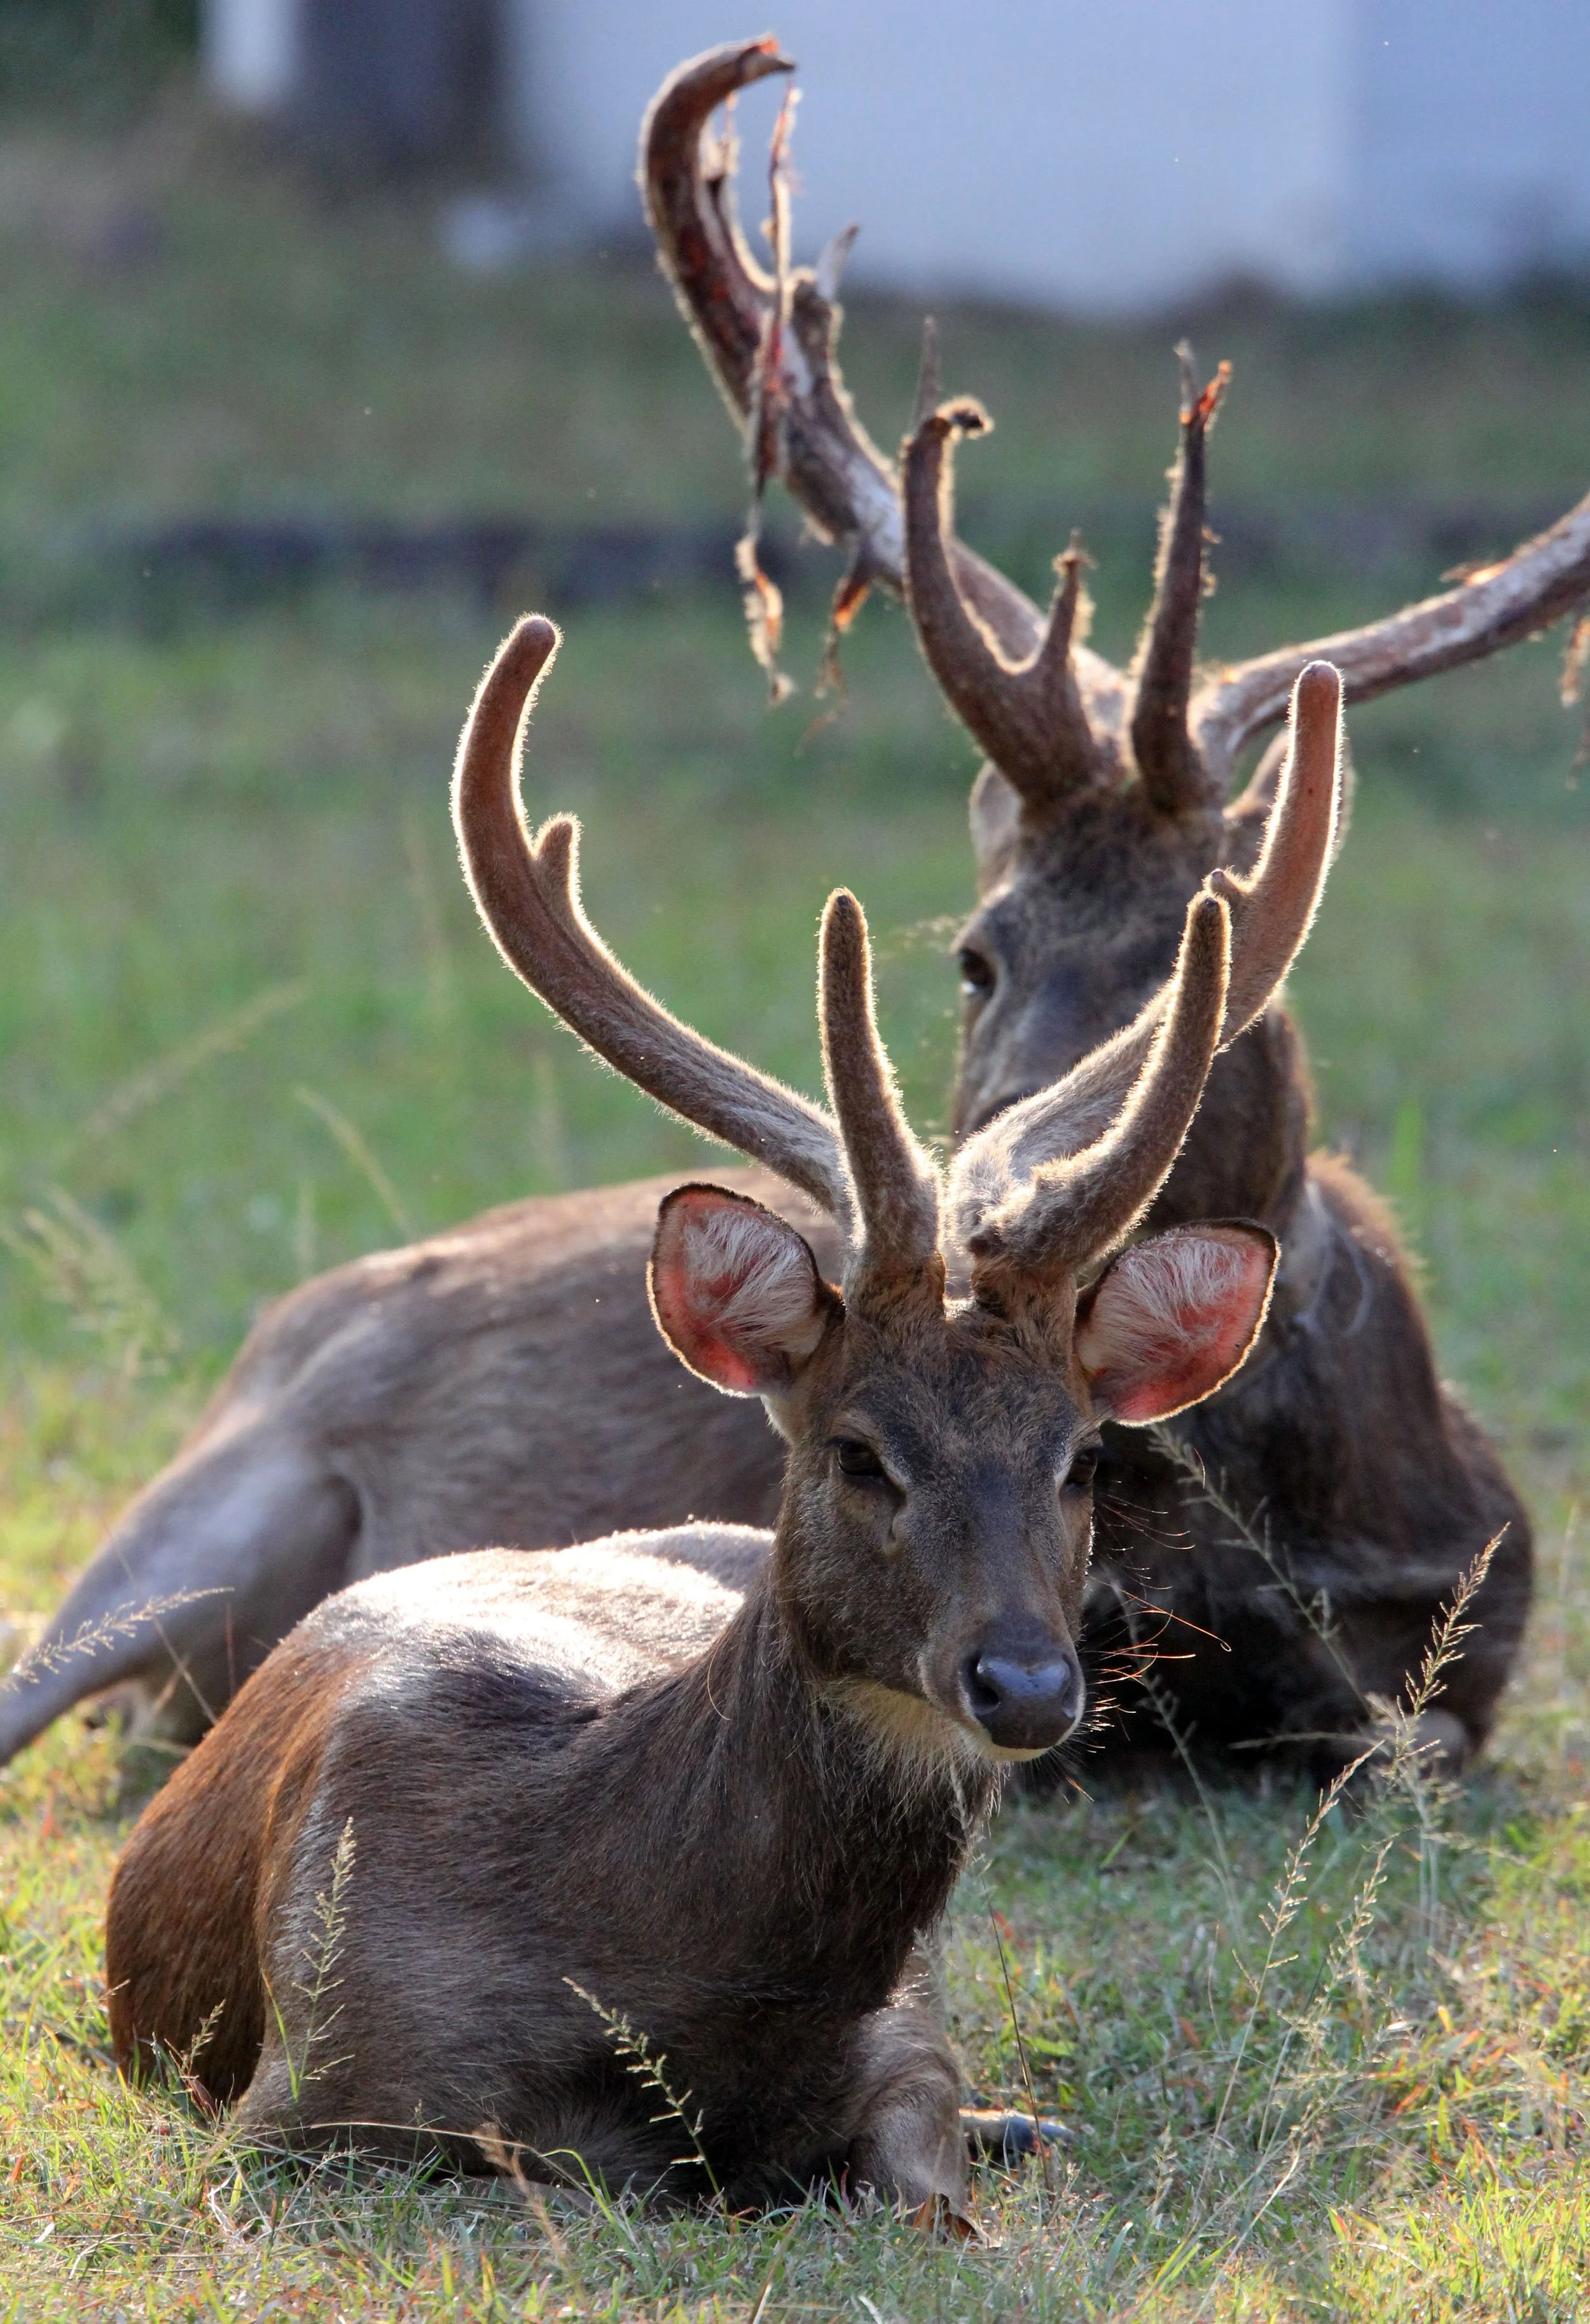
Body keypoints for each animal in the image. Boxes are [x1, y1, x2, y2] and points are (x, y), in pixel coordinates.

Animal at [6, 38, 1584, 1781]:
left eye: (1208, 955)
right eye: (974, 956)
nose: (991, 1185)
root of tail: (288, 1319)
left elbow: (1391, 1733)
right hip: (199, 1505)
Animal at [105, 611, 1307, 2213]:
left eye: (1080, 1462)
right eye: (860, 1455)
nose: (1025, 1683)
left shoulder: (907, 2036)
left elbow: (934, 2184)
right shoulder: (311, 2096)